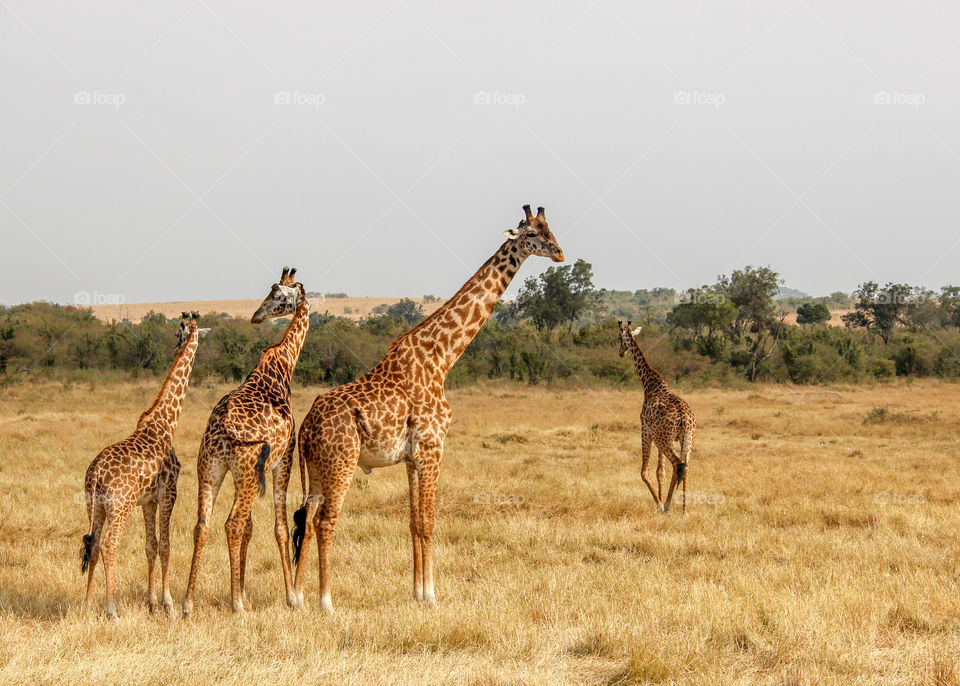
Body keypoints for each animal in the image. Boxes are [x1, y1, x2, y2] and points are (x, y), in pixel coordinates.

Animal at [80, 314, 206, 620]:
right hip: (120, 507)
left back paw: (87, 605)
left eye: (177, 334)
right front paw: (169, 605)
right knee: (109, 545)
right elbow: (166, 546)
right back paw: (111, 609)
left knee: (93, 543)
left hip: (95, 506)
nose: (176, 348)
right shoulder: (169, 493)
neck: (166, 422)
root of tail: (96, 472)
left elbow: (151, 546)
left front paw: (152, 604)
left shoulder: (148, 501)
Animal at [182, 268, 310, 620]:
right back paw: (237, 607)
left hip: (211, 468)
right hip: (247, 471)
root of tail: (225, 429)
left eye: (277, 295)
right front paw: (291, 598)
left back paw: (187, 604)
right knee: (232, 523)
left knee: (203, 525)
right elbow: (279, 528)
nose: (256, 316)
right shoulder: (283, 459)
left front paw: (240, 590)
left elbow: (252, 528)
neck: (284, 363)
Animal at [288, 207, 568, 616]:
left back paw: (297, 597)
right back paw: (326, 602)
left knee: (306, 520)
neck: (442, 358)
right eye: (532, 233)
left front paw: (417, 593)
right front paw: (432, 595)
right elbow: (429, 522)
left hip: (316, 467)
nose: (560, 253)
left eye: (551, 230)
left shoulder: (411, 458)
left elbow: (413, 523)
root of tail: (306, 427)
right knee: (326, 522)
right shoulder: (434, 448)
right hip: (342, 462)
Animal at [616, 322, 696, 510]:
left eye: (618, 338)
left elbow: (644, 472)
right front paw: (660, 500)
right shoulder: (658, 435)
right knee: (686, 466)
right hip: (686, 438)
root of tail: (684, 416)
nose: (621, 352)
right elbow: (660, 471)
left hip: (664, 439)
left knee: (677, 463)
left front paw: (659, 504)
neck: (649, 383)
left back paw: (667, 506)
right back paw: (684, 509)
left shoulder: (646, 431)